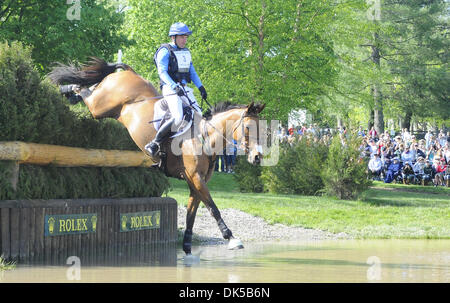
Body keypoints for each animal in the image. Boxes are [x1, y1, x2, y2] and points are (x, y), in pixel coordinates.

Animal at [48, 57, 268, 256]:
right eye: (248, 128)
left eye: (264, 129)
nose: (257, 157)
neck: (204, 137)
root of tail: (128, 72)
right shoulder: (196, 178)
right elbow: (213, 207)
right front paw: (231, 238)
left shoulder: (195, 181)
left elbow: (192, 214)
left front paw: (187, 247)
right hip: (100, 107)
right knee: (85, 91)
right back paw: (67, 88)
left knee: (89, 87)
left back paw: (68, 93)